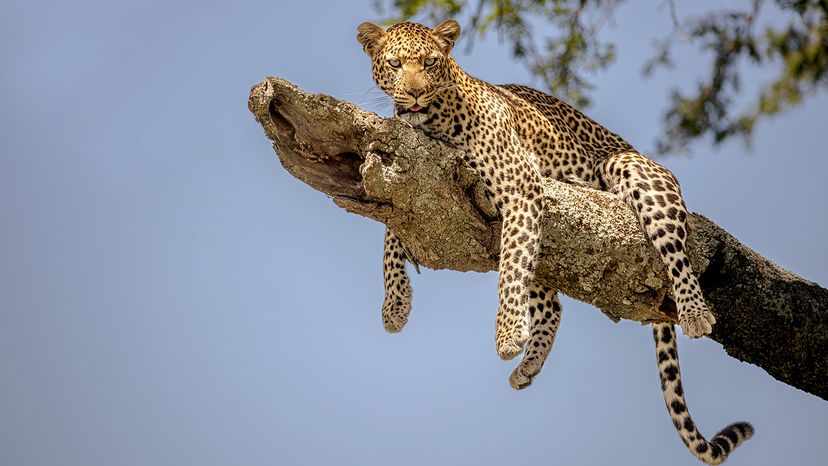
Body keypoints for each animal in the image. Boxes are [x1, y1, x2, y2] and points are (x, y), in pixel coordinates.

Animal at [357, 19, 753, 464]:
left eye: (429, 63)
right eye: (395, 63)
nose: (413, 92)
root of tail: (633, 149)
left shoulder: (520, 185)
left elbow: (510, 272)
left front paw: (507, 334)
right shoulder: (408, 171)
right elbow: (391, 230)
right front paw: (395, 305)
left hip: (636, 173)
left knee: (676, 252)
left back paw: (695, 311)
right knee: (553, 301)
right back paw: (528, 365)